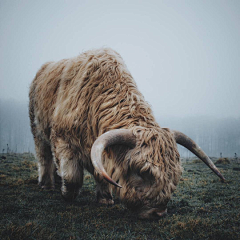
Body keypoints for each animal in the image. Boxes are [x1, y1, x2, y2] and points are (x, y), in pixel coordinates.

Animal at [29, 48, 224, 219]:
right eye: (142, 172)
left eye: (174, 175)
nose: (159, 213)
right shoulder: (63, 140)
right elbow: (71, 176)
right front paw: (67, 195)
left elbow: (101, 173)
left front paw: (105, 199)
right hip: (37, 130)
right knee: (44, 156)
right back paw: (46, 184)